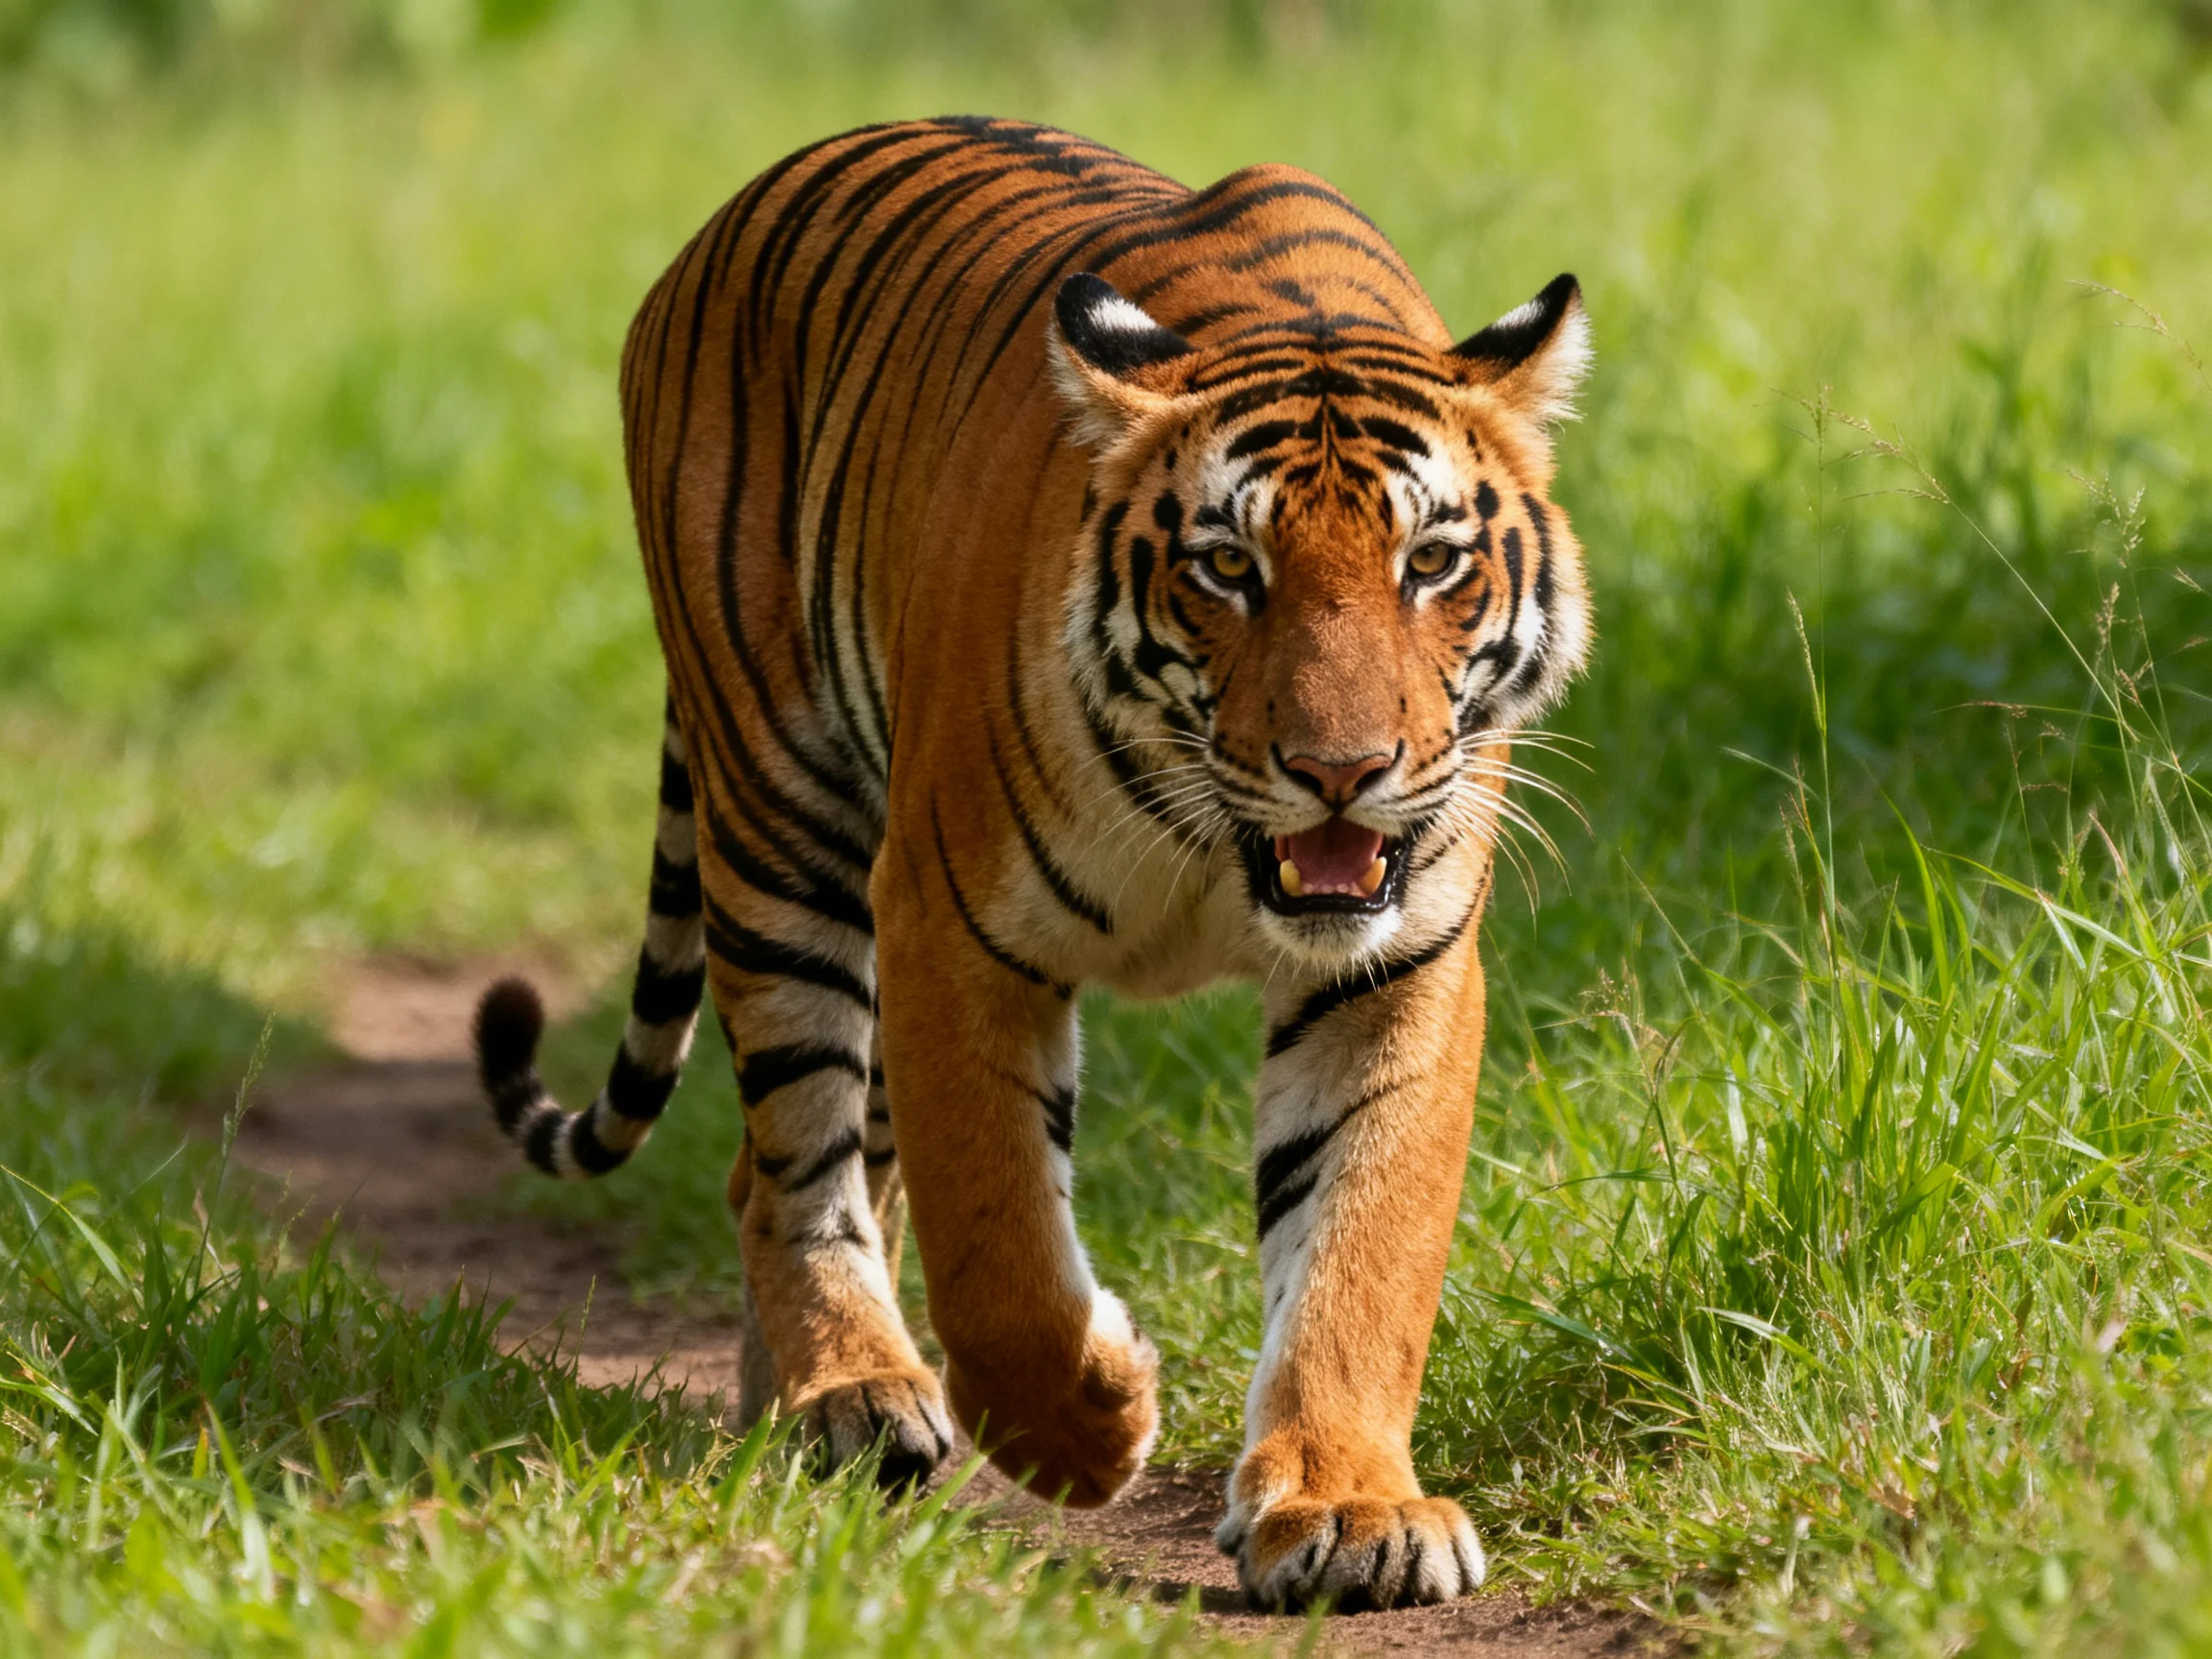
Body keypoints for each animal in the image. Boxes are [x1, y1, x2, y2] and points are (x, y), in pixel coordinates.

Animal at [472, 115, 1592, 1612]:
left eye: (1432, 562)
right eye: (1227, 568)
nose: (1340, 769)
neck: (1218, 853)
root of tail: (719, 226)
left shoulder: (1394, 970)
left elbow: (1362, 1250)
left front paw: (1350, 1509)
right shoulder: (953, 926)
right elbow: (999, 1245)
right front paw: (1085, 1430)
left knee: (792, 1170)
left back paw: (800, 1416)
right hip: (781, 823)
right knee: (797, 1164)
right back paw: (853, 1398)